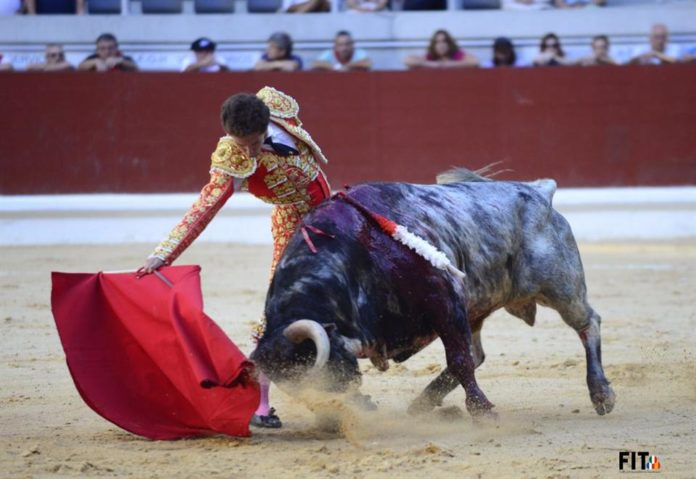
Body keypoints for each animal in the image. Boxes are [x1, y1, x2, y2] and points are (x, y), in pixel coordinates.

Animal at [250, 169, 616, 420]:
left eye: (326, 379)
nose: (330, 419)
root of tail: (538, 190)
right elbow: (464, 358)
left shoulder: (445, 297)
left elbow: (459, 360)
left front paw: (484, 412)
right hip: (477, 307)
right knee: (476, 353)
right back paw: (422, 402)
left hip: (561, 286)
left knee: (588, 323)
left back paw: (601, 394)